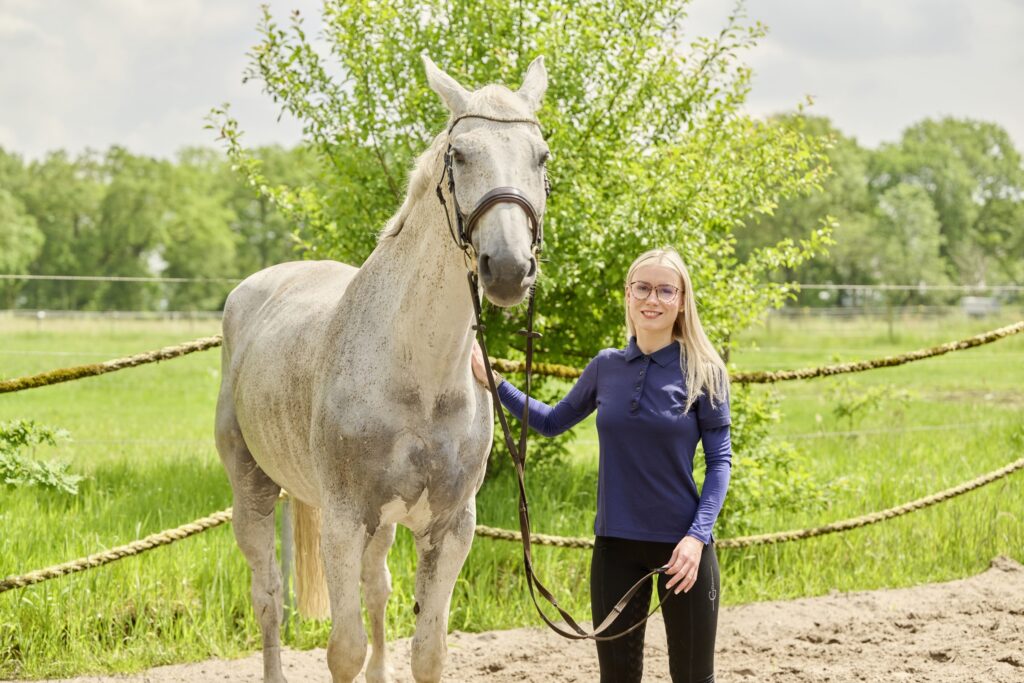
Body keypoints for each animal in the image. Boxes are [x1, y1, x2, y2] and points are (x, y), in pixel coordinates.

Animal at [214, 55, 550, 683]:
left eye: (540, 157)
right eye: (459, 154)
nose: (509, 269)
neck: (419, 376)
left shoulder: (450, 527)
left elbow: (428, 651)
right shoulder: (345, 522)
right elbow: (343, 651)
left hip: (384, 524)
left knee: (376, 589)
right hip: (253, 487)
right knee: (267, 597)